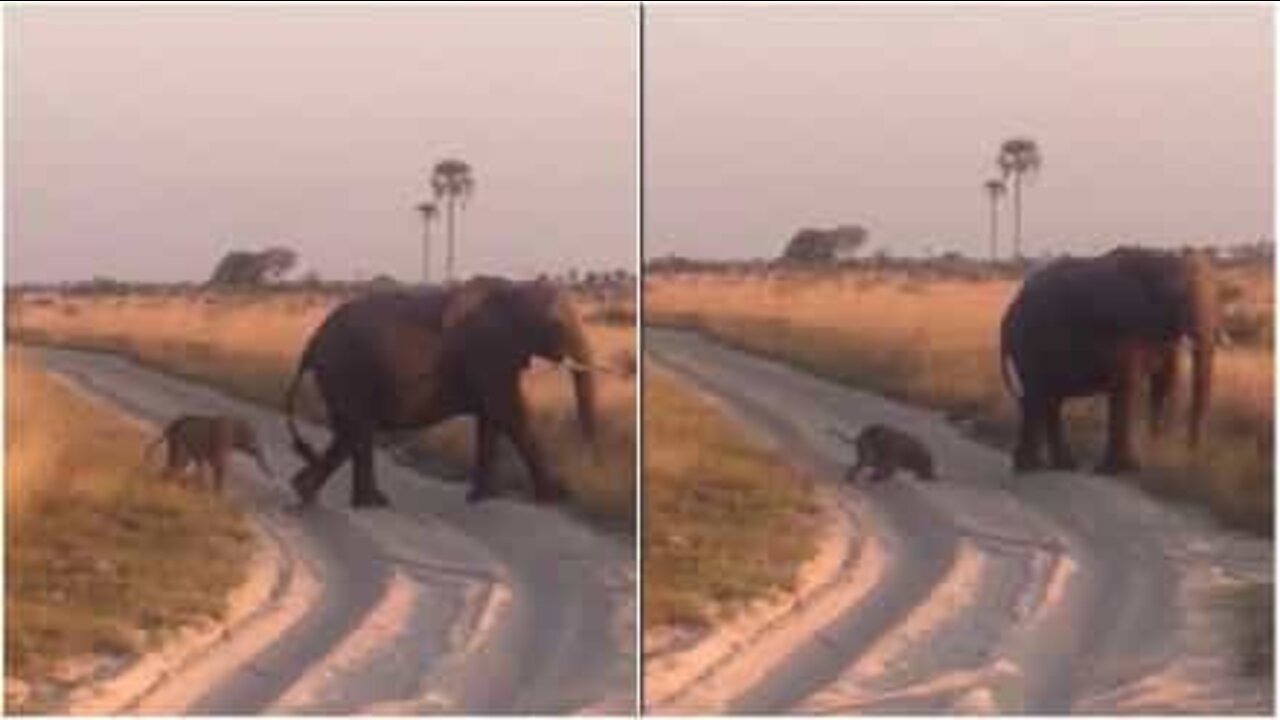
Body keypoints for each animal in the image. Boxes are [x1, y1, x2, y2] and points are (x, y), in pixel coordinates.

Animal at [285, 274, 593, 504]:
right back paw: (341, 497)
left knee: (352, 432)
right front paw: (554, 497)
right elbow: (511, 413)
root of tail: (313, 342)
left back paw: (320, 492)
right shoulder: (489, 352)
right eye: (556, 323)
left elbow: (491, 420)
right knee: (355, 430)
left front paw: (484, 498)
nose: (591, 457)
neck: (515, 288)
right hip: (346, 371)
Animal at [998, 243, 1218, 474]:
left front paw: (1155, 449)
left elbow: (1164, 380)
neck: (1159, 259)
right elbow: (1126, 383)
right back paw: (1030, 467)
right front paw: (1126, 469)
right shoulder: (1122, 324)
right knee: (1037, 396)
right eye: (1179, 296)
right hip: (1029, 343)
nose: (1192, 455)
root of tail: (1008, 316)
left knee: (1048, 399)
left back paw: (1062, 465)